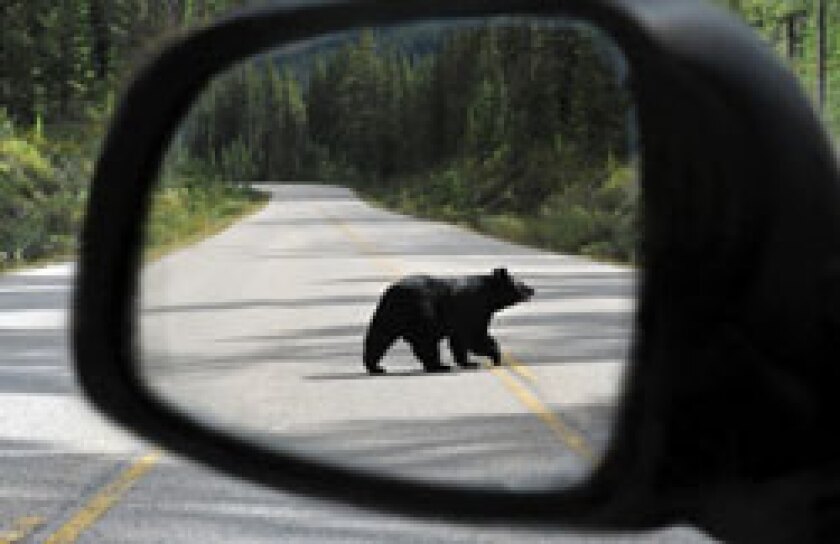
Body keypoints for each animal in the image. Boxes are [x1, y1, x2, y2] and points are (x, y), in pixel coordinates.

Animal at [363, 267, 535, 374]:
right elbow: (473, 336)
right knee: (426, 343)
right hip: (422, 312)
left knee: (379, 337)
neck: (488, 295)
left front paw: (474, 361)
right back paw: (439, 366)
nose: (532, 289)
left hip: (388, 313)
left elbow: (464, 339)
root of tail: (394, 292)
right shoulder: (473, 307)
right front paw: (489, 358)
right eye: (521, 283)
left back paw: (375, 367)